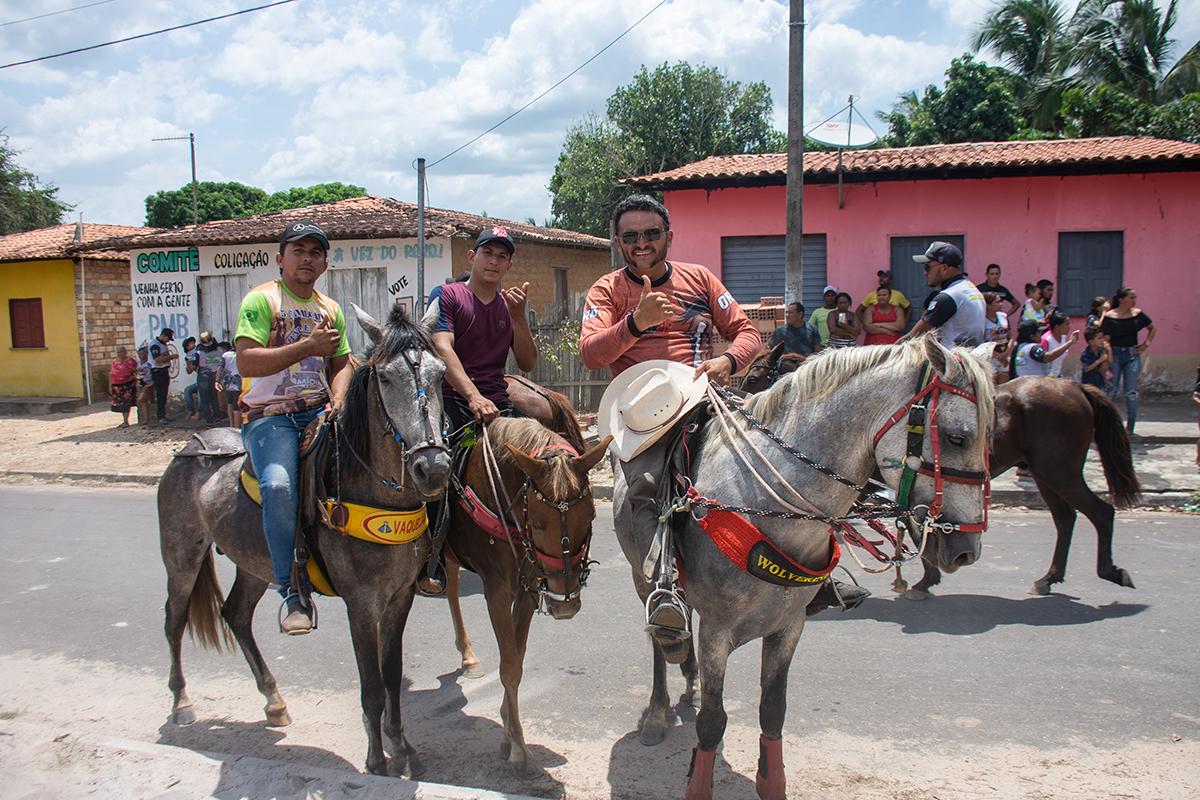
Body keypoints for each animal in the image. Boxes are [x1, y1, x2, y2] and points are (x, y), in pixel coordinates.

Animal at [154, 304, 446, 777]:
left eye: (440, 374)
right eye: (384, 377)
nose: (433, 467)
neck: (368, 489)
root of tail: (190, 447)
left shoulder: (400, 597)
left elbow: (391, 676)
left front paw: (402, 748)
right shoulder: (361, 604)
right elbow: (371, 686)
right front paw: (376, 760)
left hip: (255, 563)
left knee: (235, 614)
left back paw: (274, 701)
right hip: (181, 554)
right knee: (174, 619)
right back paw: (182, 702)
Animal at [444, 419, 609, 777]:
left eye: (590, 517)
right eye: (536, 523)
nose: (565, 604)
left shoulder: (527, 590)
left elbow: (516, 661)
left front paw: (508, 730)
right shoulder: (496, 590)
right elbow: (508, 666)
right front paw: (518, 747)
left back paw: (468, 656)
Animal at [619, 335, 993, 800]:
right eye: (958, 438)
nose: (967, 548)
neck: (762, 506)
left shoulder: (789, 627)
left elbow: (772, 712)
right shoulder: (717, 632)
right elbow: (712, 722)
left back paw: (689, 678)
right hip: (642, 576)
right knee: (659, 641)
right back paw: (657, 709)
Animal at [734, 347, 1137, 597]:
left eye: (754, 376)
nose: (742, 402)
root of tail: (1075, 385)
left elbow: (917, 528)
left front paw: (923, 579)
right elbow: (918, 528)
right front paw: (925, 576)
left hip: (1058, 471)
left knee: (1099, 512)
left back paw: (1107, 571)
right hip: (1044, 474)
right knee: (1067, 518)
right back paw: (1050, 578)